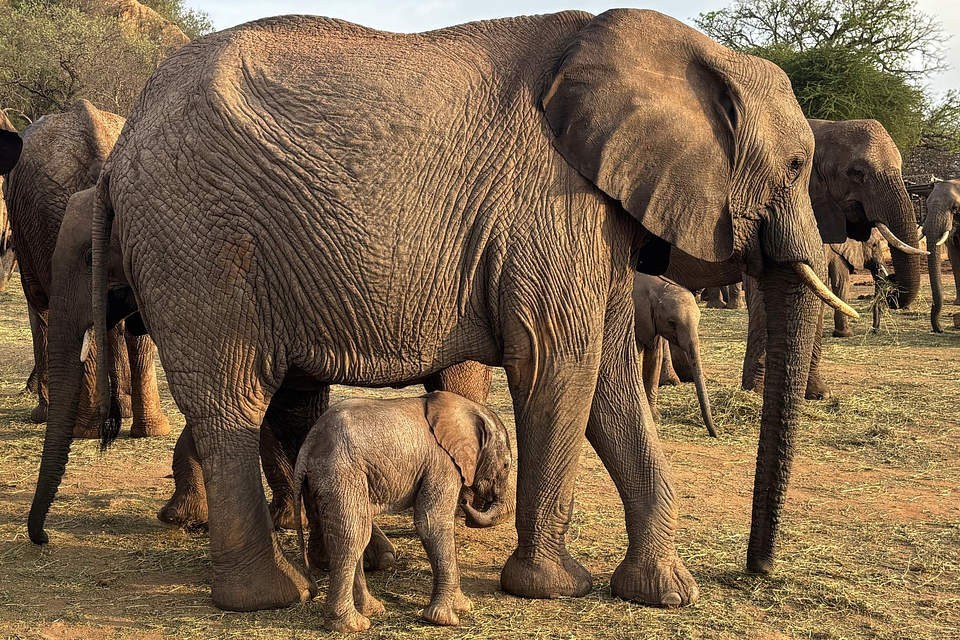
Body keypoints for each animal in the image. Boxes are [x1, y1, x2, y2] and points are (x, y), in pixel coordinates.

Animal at [293, 391, 512, 631]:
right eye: (507, 465)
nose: (465, 500)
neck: (468, 409)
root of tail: (308, 445)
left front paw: (464, 606)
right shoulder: (442, 463)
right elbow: (431, 521)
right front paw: (445, 619)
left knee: (357, 529)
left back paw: (372, 610)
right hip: (341, 473)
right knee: (353, 535)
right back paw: (352, 625)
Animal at [633, 274, 716, 437]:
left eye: (698, 320)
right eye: (671, 322)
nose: (713, 434)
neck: (657, 287)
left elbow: (655, 358)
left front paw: (655, 417)